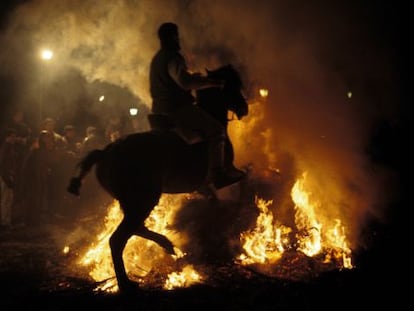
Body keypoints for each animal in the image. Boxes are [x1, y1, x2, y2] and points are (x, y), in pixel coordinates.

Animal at [68, 64, 249, 292]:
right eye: (232, 86)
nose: (244, 108)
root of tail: (105, 152)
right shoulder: (221, 176)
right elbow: (239, 181)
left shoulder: (202, 186)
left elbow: (214, 198)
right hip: (143, 200)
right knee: (118, 239)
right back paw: (127, 283)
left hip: (132, 202)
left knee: (136, 228)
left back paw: (166, 244)